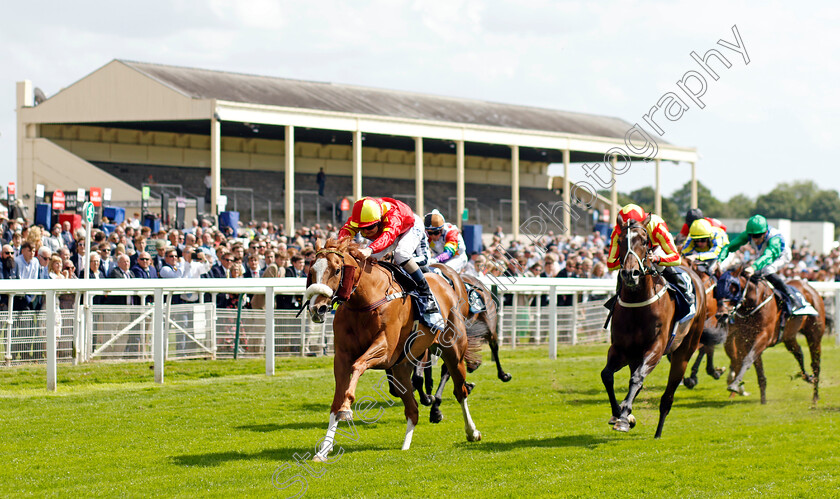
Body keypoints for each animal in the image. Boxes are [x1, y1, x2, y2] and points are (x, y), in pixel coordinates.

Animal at [306, 237, 482, 460]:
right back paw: (406, 445)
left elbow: (358, 365)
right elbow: (336, 400)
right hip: (401, 369)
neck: (365, 300)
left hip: (453, 352)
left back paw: (471, 431)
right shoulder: (342, 357)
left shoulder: (385, 350)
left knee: (460, 391)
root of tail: (447, 282)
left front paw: (347, 407)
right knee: (412, 409)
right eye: (312, 270)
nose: (317, 308)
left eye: (337, 270)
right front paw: (323, 450)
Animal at [600, 221, 704, 440]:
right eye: (620, 241)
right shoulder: (621, 349)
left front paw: (624, 419)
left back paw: (658, 431)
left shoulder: (655, 347)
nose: (630, 273)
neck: (637, 305)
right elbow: (607, 375)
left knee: (668, 395)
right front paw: (619, 413)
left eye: (645, 240)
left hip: (684, 350)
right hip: (635, 356)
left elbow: (637, 378)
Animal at [716, 266, 828, 406]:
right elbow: (757, 369)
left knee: (816, 364)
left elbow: (747, 359)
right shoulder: (746, 340)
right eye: (716, 289)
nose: (721, 315)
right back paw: (808, 377)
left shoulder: (763, 337)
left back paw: (815, 396)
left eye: (733, 288)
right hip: (789, 337)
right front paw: (763, 400)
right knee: (798, 353)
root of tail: (811, 289)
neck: (754, 303)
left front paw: (734, 385)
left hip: (814, 335)